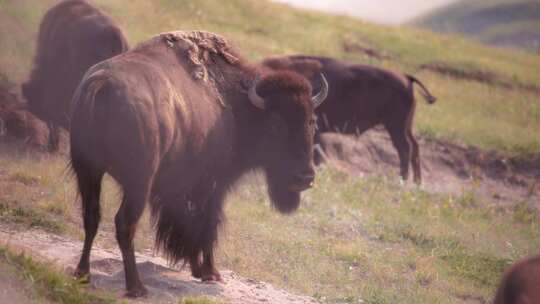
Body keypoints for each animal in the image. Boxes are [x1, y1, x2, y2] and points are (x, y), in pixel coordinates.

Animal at [69, 29, 326, 296]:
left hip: (87, 170)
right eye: (276, 124)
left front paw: (198, 269)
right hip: (137, 183)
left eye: (311, 121)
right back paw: (137, 287)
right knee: (124, 224)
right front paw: (211, 273)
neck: (238, 105)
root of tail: (101, 84)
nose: (304, 178)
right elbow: (208, 225)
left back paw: (83, 274)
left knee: (91, 216)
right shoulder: (213, 187)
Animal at [264, 55, 436, 184]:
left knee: (404, 148)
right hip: (406, 125)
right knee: (414, 146)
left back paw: (402, 180)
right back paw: (417, 182)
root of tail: (406, 77)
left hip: (395, 126)